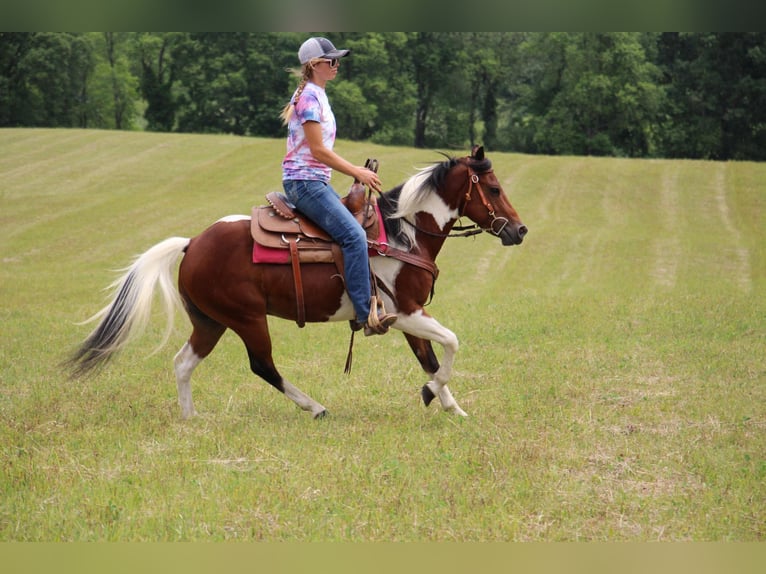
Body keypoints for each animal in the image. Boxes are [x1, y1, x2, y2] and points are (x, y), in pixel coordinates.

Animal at [67, 146, 528, 420]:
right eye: (493, 188)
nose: (520, 231)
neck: (403, 235)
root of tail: (192, 243)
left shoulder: (410, 314)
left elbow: (430, 358)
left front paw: (449, 405)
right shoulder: (404, 312)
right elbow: (449, 343)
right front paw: (434, 395)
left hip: (210, 322)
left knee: (183, 362)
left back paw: (191, 418)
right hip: (247, 319)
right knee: (262, 365)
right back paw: (315, 406)